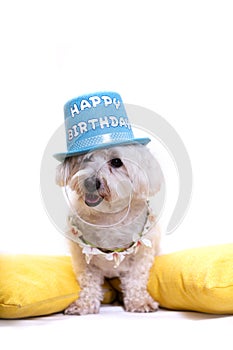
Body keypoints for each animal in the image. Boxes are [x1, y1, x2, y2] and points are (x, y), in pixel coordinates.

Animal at [55, 142, 163, 314]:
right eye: (86, 158)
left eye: (117, 162)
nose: (90, 183)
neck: (108, 216)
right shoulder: (83, 256)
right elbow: (88, 281)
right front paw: (84, 304)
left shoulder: (142, 253)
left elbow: (136, 278)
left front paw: (139, 302)